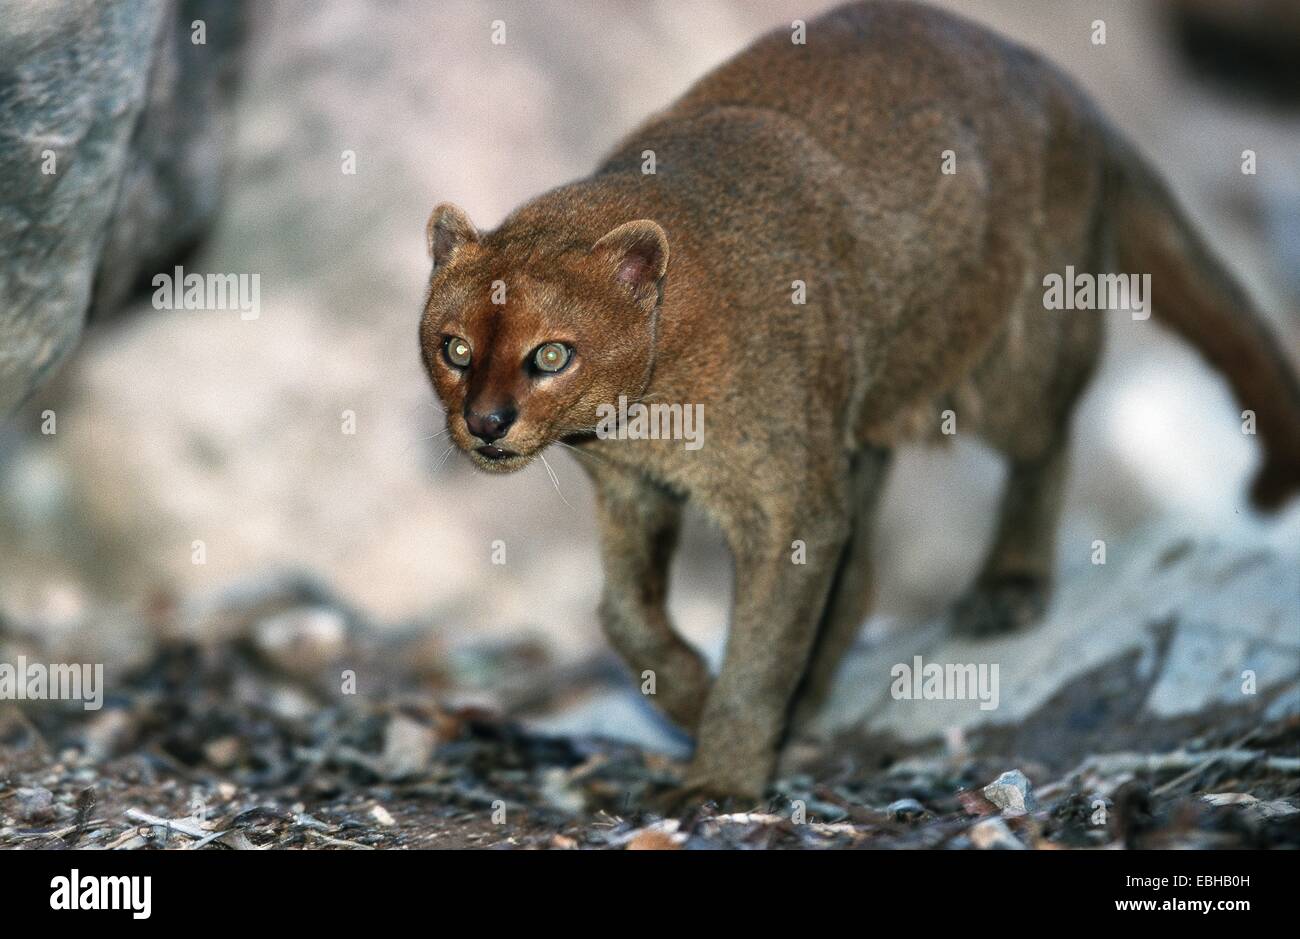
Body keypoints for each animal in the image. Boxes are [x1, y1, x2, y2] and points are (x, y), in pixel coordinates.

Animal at [421, 0, 1300, 801]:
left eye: (551, 355)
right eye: (454, 348)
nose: (485, 422)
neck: (649, 409)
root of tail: (1073, 91)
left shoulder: (787, 504)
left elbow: (759, 647)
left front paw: (722, 774)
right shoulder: (635, 487)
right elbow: (624, 615)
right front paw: (691, 693)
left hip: (1014, 359)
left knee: (1045, 442)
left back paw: (1007, 586)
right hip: (859, 416)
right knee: (864, 568)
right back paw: (814, 696)